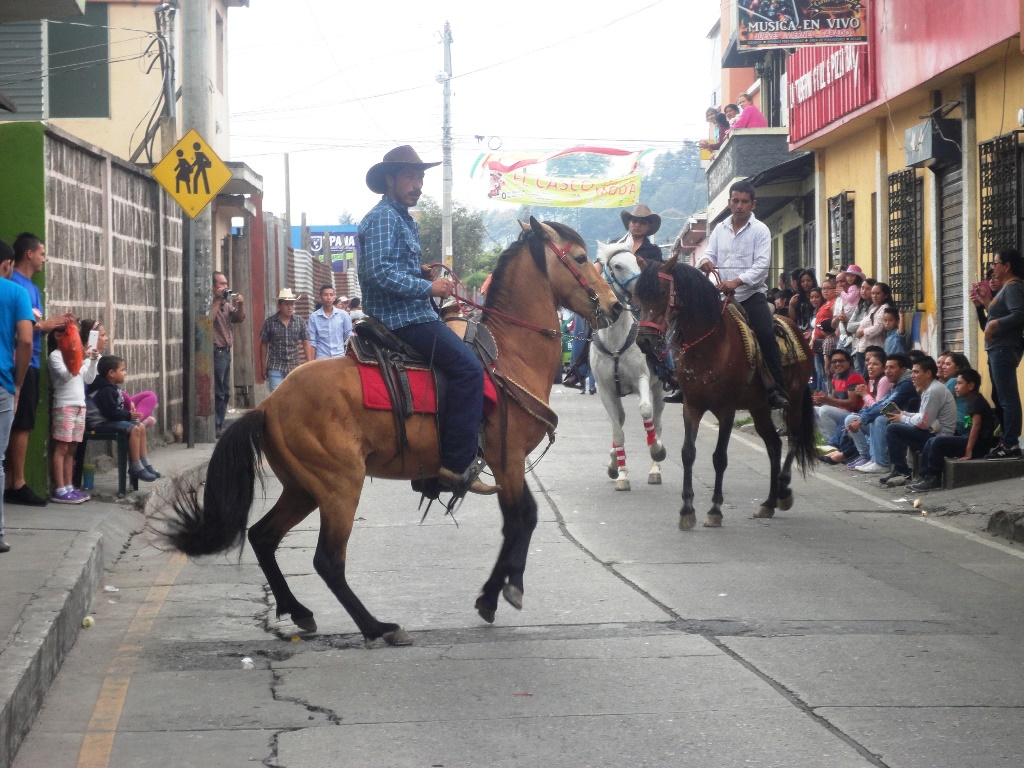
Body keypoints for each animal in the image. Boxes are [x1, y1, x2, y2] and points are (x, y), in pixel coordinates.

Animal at [163, 219, 618, 647]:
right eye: (581, 259)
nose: (614, 307)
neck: (509, 356)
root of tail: (267, 405)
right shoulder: (508, 458)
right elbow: (521, 519)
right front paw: (500, 592)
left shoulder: (509, 462)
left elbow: (524, 518)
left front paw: (500, 590)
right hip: (339, 485)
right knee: (327, 560)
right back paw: (377, 626)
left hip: (302, 487)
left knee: (262, 536)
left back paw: (299, 610)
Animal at [589, 243, 667, 489]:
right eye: (617, 265)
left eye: (636, 260)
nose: (641, 288)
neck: (615, 342)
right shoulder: (605, 389)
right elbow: (617, 431)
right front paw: (620, 472)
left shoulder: (642, 378)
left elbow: (645, 411)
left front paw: (657, 449)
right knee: (621, 420)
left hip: (659, 387)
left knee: (657, 421)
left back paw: (655, 469)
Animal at [634, 257, 811, 528]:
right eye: (638, 296)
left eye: (662, 293)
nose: (644, 341)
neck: (710, 346)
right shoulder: (692, 406)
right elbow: (688, 453)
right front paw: (687, 510)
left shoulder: (726, 409)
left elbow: (719, 457)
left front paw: (715, 510)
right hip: (759, 408)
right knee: (773, 445)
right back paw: (768, 503)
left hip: (794, 400)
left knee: (792, 438)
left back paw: (783, 491)